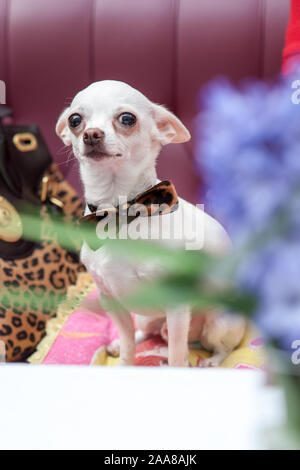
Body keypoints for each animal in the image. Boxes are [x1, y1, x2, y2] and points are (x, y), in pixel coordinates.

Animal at [56, 81, 246, 368]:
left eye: (127, 118)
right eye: (75, 120)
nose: (91, 134)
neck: (119, 211)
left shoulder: (176, 305)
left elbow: (177, 354)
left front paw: (177, 366)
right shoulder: (110, 300)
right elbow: (127, 341)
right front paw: (124, 361)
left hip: (219, 322)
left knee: (219, 346)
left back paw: (211, 361)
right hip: (147, 316)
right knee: (146, 331)